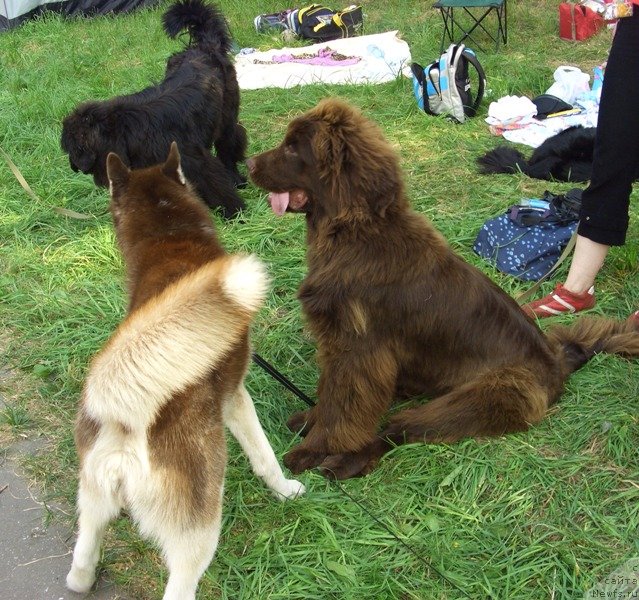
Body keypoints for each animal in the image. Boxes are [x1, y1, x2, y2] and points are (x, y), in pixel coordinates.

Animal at [60, 0, 245, 218]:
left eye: (74, 150)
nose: (73, 167)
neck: (125, 131)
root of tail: (205, 46)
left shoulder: (197, 163)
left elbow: (217, 188)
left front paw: (236, 212)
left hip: (227, 120)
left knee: (230, 146)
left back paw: (235, 178)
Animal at [65, 143, 304, 596]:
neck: (169, 238)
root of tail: (127, 424)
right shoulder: (235, 398)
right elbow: (265, 457)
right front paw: (285, 490)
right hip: (199, 530)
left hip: (91, 497)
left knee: (81, 559)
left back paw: (84, 577)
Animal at [248, 99, 639, 482]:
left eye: (292, 147)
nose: (248, 163)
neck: (354, 234)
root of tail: (559, 364)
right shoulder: (340, 344)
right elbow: (330, 393)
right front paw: (310, 420)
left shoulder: (358, 349)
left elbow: (342, 405)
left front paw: (314, 449)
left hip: (486, 395)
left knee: (399, 428)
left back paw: (349, 461)